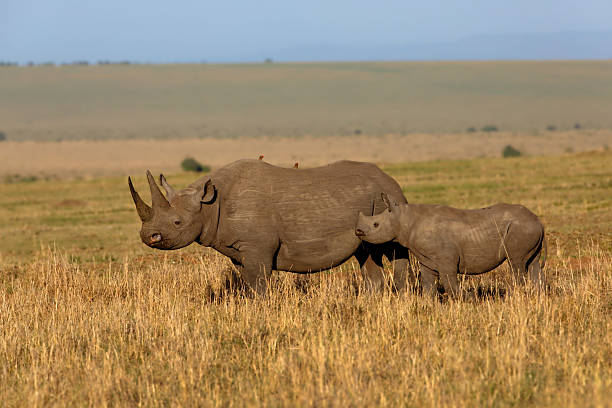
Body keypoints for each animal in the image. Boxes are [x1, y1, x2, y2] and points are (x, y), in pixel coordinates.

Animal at [129, 158, 416, 294]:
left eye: (178, 222)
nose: (148, 236)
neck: (209, 205)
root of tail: (392, 181)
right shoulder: (238, 250)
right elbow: (249, 283)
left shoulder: (257, 247)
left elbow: (260, 283)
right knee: (366, 253)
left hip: (388, 200)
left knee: (393, 249)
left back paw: (402, 296)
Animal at [356, 193, 548, 298]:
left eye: (376, 225)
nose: (358, 231)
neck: (403, 218)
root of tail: (539, 221)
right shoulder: (426, 258)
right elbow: (428, 283)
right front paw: (429, 304)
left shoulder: (446, 258)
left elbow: (449, 281)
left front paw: (470, 298)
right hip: (528, 228)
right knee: (532, 264)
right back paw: (537, 297)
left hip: (521, 228)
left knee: (516, 264)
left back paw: (513, 296)